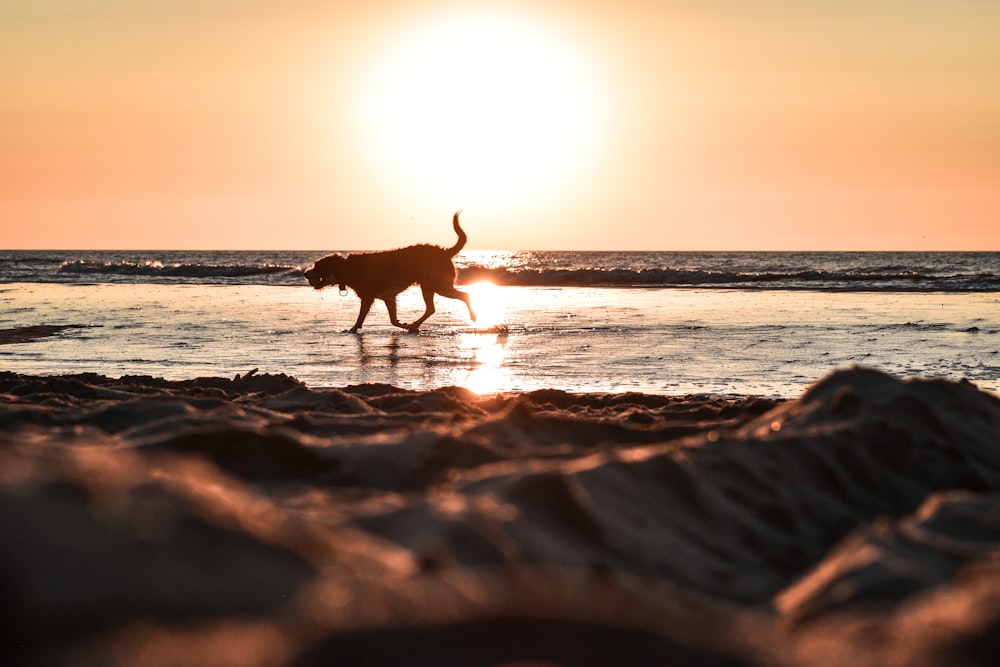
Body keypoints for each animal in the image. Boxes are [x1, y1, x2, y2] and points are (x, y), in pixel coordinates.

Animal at [304, 210, 476, 332]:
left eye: (317, 266)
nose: (305, 273)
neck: (345, 268)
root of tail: (445, 252)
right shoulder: (388, 297)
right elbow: (393, 320)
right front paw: (404, 324)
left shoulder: (367, 297)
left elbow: (360, 317)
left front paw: (352, 329)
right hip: (428, 286)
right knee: (431, 308)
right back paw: (414, 325)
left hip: (439, 285)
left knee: (465, 296)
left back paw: (473, 317)